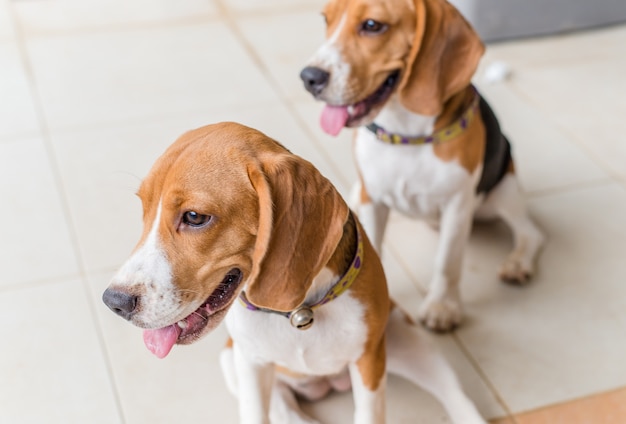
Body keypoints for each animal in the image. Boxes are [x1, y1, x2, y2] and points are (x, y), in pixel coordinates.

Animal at [102, 121, 486, 422]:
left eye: (195, 217)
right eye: (144, 209)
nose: (114, 302)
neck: (298, 313)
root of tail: (326, 382)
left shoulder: (369, 364)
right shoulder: (250, 364)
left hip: (408, 342)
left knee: (458, 399)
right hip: (236, 362)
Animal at [298, 0, 540, 332]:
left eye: (372, 25)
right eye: (326, 20)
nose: (309, 77)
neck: (405, 135)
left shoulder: (457, 207)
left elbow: (448, 263)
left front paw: (442, 306)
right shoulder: (374, 200)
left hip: (502, 191)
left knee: (531, 233)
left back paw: (517, 263)